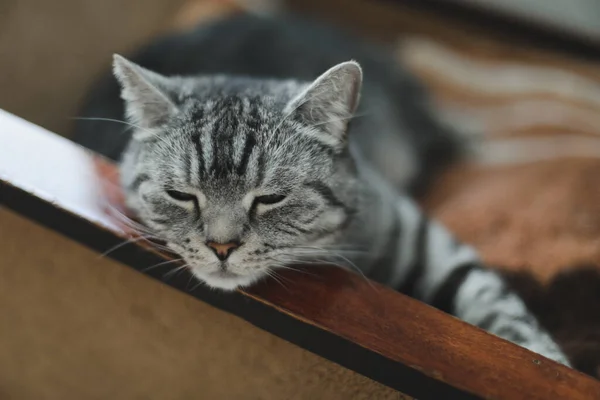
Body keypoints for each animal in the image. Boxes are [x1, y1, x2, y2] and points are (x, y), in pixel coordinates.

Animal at [72, 14, 568, 366]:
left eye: (270, 198)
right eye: (182, 195)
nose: (221, 247)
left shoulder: (425, 240)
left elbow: (499, 306)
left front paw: (548, 364)